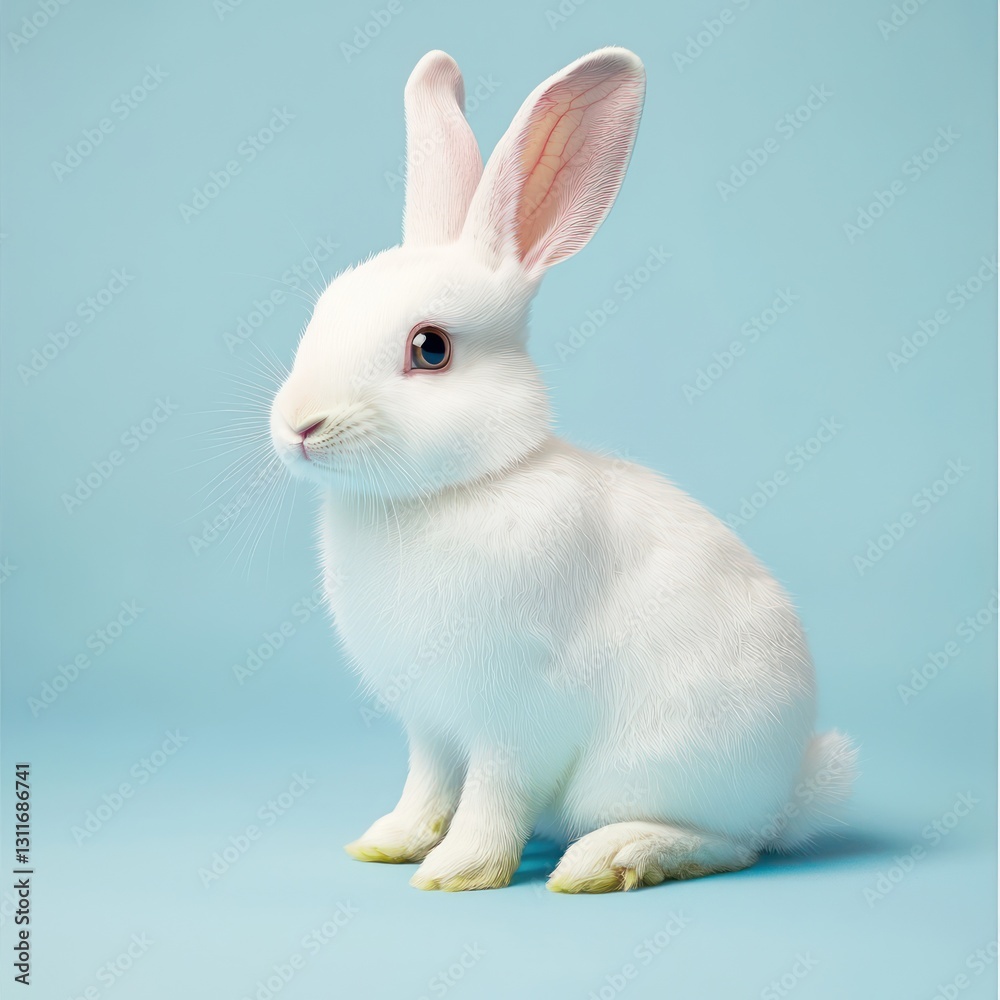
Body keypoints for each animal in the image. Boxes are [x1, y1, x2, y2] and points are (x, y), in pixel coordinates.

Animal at [268, 47, 858, 892]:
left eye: (430, 349)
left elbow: (493, 794)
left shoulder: (513, 716)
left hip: (651, 770)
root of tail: (794, 787)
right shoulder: (431, 725)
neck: (452, 490)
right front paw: (390, 841)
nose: (299, 426)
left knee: (730, 846)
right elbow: (429, 784)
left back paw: (610, 860)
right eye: (322, 311)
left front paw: (458, 872)